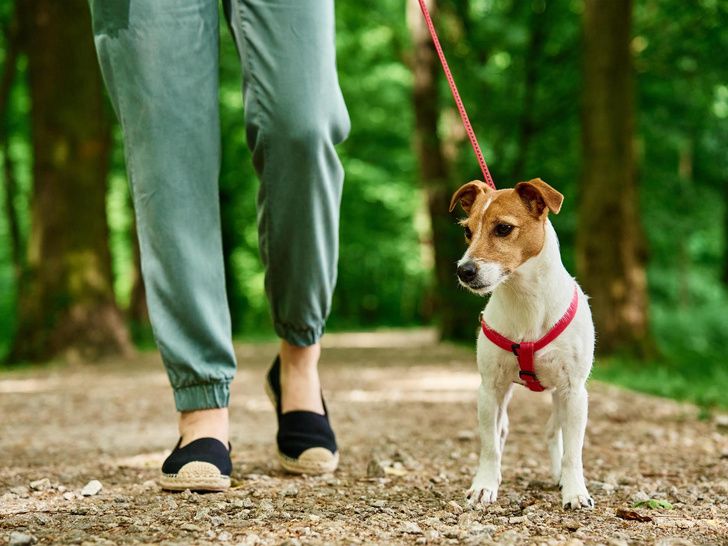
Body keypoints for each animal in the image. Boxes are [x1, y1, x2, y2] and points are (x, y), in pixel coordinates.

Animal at [450, 177, 596, 506]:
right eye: (467, 231)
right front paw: (485, 484)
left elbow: (574, 452)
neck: (526, 301)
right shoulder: (489, 389)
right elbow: (489, 445)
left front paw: (575, 491)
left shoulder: (574, 392)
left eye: (503, 228)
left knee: (554, 432)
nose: (464, 271)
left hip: (561, 396)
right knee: (501, 431)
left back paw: (559, 476)